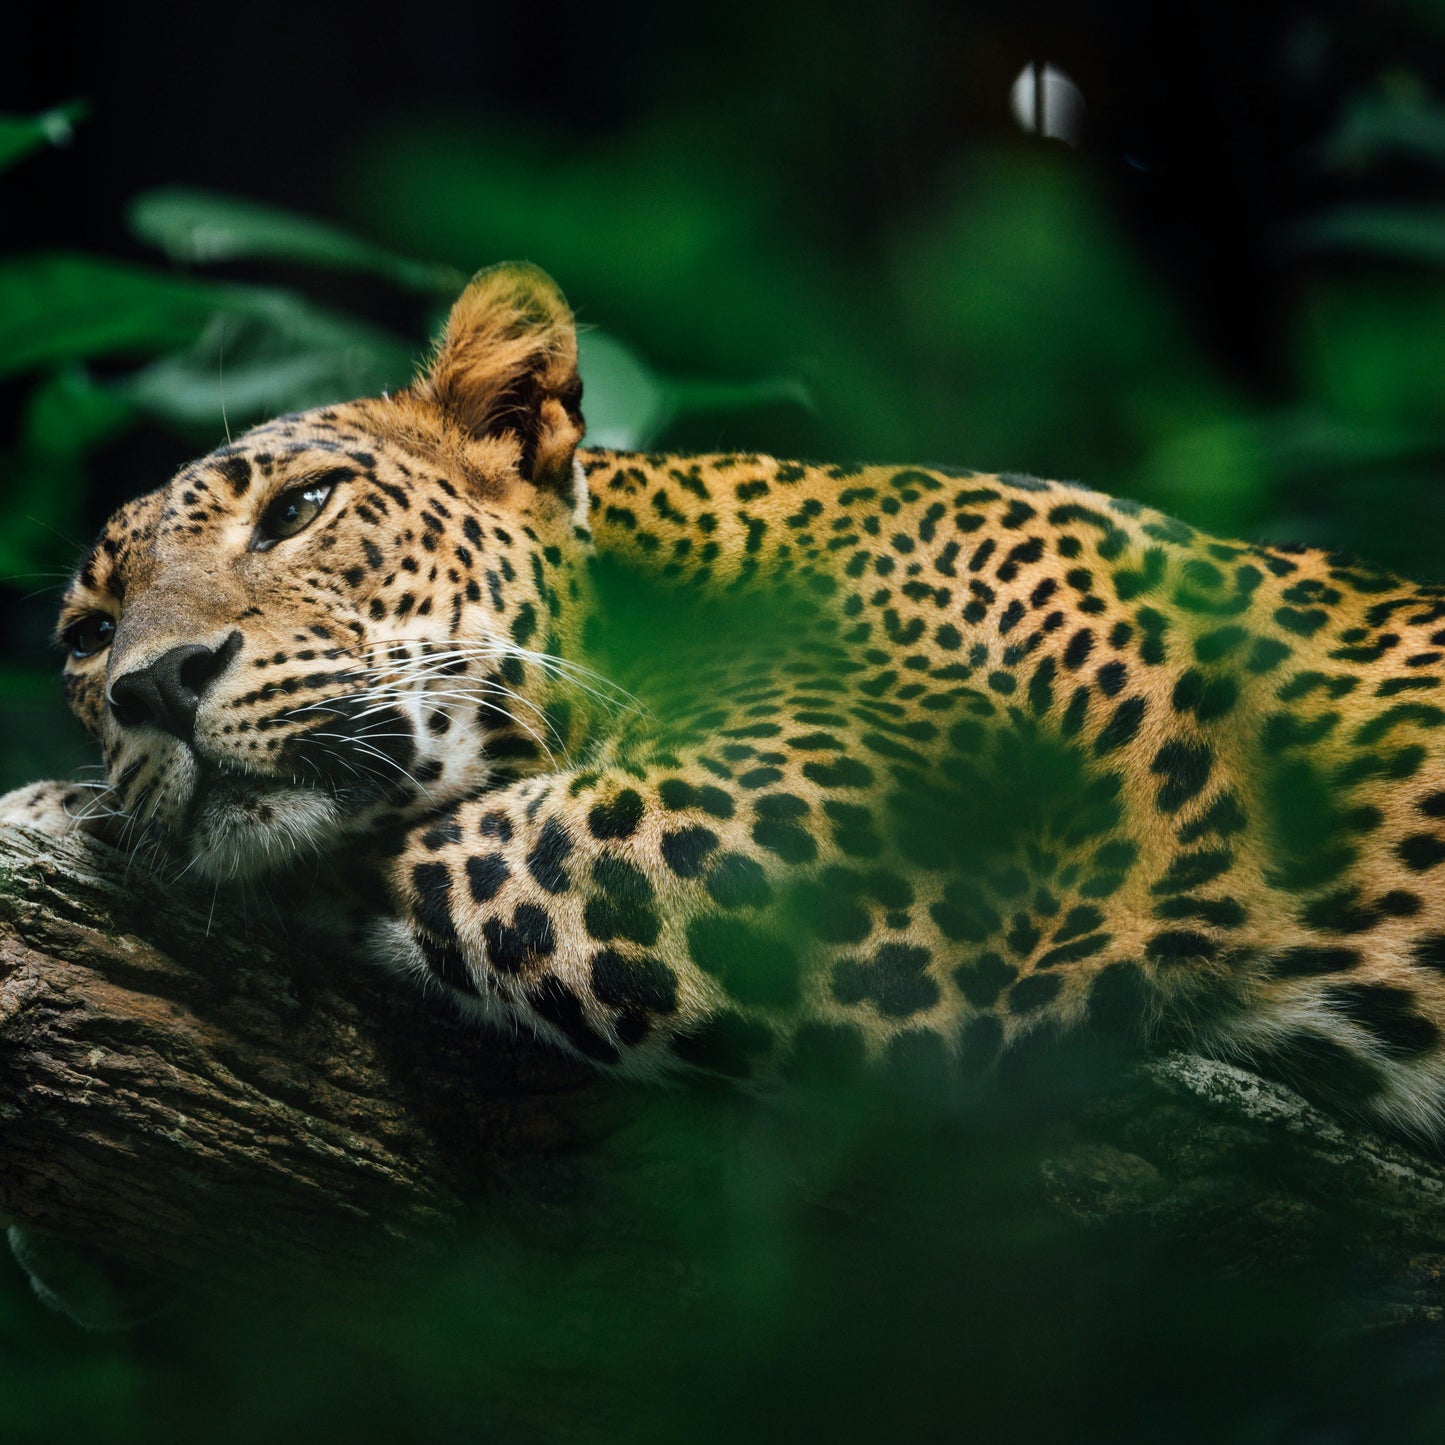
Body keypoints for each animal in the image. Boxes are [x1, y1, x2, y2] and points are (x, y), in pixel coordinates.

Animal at [7, 260, 1445, 1148]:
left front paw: (63, 806)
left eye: (300, 507)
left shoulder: (810, 852)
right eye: (87, 636)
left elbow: (423, 840)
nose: (151, 686)